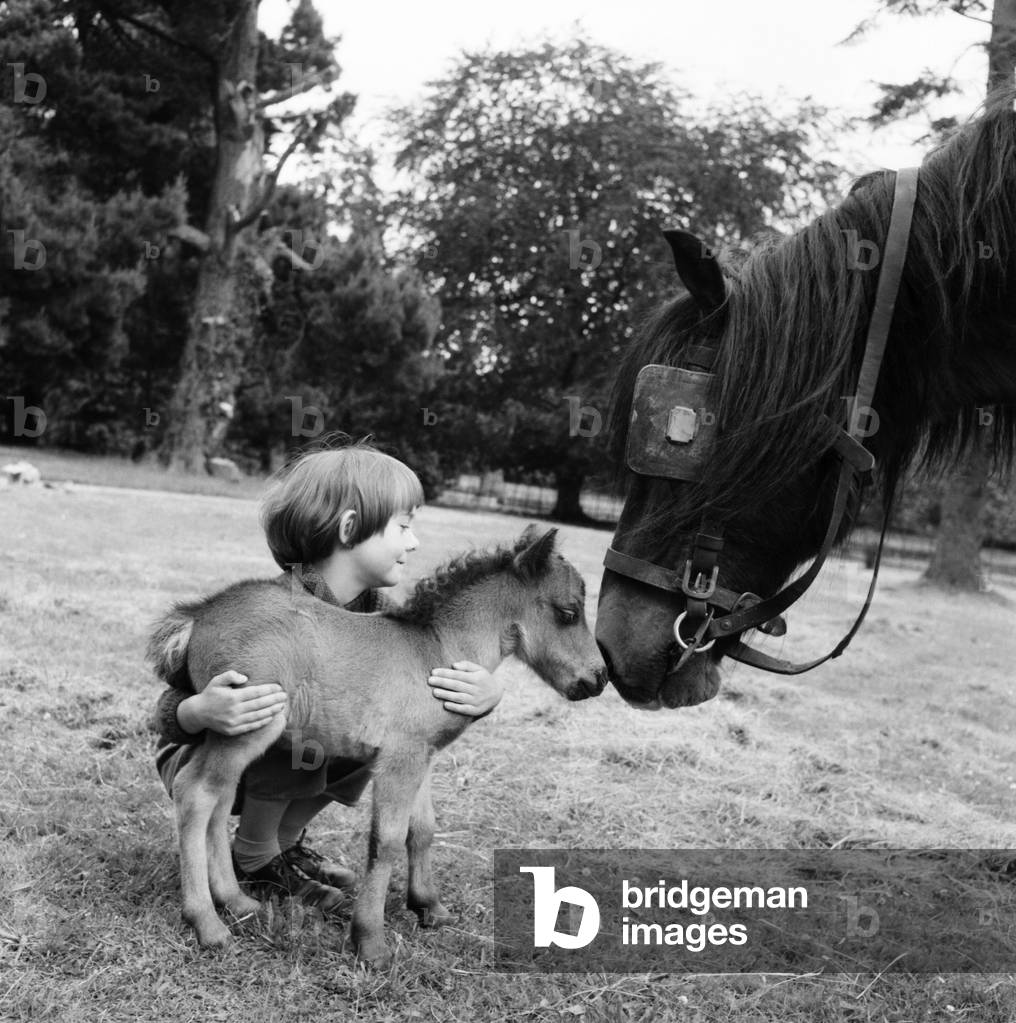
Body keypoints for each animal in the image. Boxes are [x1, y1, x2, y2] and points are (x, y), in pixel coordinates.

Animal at [147, 525, 606, 964]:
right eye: (568, 612)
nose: (599, 679)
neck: (435, 650)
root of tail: (198, 615)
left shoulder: (422, 756)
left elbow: (423, 829)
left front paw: (430, 908)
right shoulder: (400, 758)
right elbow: (385, 842)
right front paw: (370, 942)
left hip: (234, 734)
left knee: (219, 797)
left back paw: (238, 902)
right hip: (247, 724)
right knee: (195, 792)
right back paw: (207, 924)